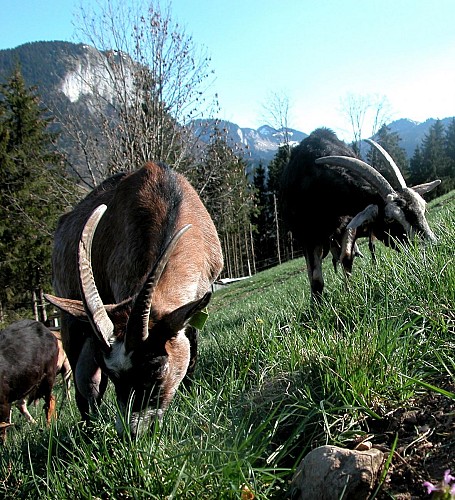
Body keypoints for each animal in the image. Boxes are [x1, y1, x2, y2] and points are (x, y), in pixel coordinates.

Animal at [45, 162, 224, 436]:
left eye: (156, 366)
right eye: (114, 374)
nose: (130, 433)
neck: (164, 195)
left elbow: (191, 343)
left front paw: (189, 394)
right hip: (71, 325)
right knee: (85, 389)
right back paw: (89, 432)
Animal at [282, 129, 442, 300]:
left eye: (423, 208)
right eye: (390, 219)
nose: (433, 246)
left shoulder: (347, 225)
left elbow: (347, 258)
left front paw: (349, 295)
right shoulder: (308, 239)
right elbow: (316, 280)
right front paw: (317, 306)